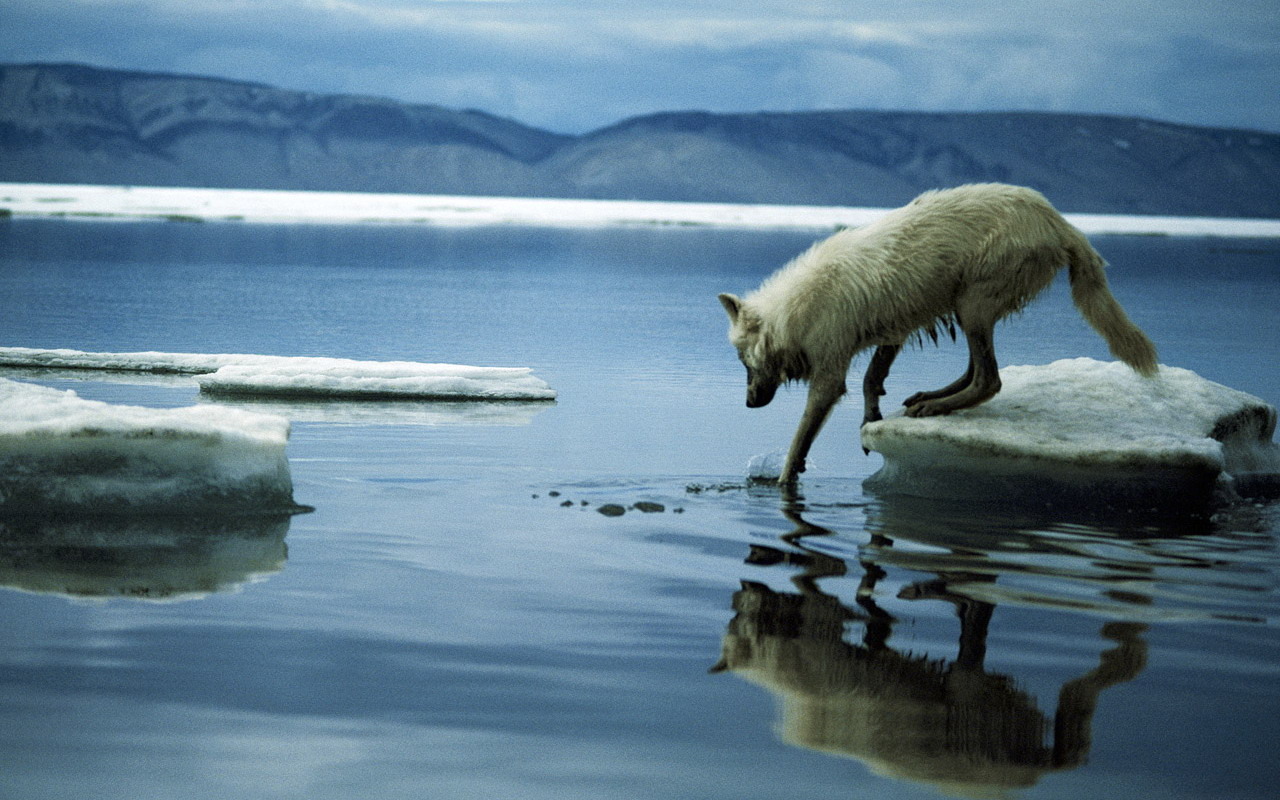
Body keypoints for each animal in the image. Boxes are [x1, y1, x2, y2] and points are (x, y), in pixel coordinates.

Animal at [721, 183, 1162, 481]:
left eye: (743, 361)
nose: (748, 404)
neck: (796, 310)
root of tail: (1059, 221)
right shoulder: (892, 333)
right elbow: (871, 380)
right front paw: (871, 418)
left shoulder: (830, 374)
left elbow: (800, 439)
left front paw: (784, 480)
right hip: (966, 308)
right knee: (976, 370)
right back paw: (932, 398)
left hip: (972, 304)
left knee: (989, 379)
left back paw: (936, 406)